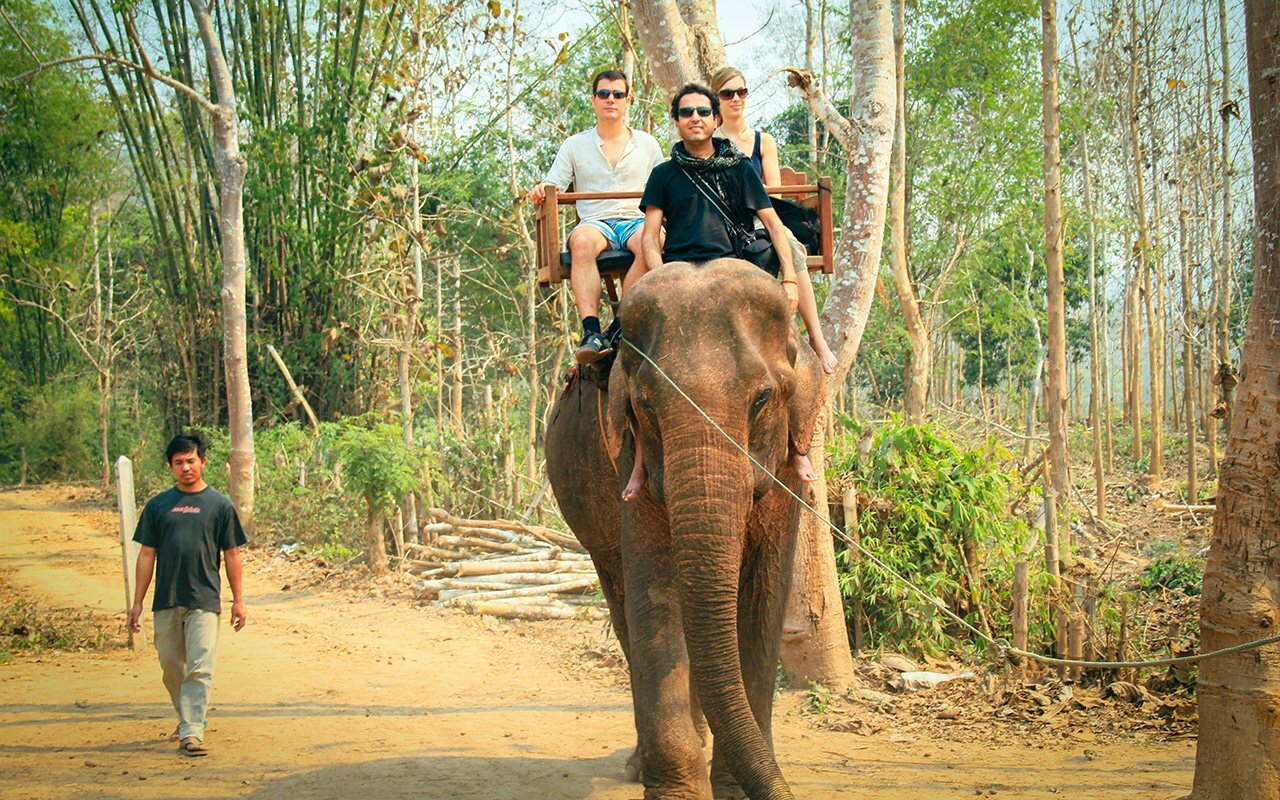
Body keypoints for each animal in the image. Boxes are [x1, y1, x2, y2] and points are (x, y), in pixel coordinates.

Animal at [545, 258, 824, 793]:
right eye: (646, 404)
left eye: (762, 399)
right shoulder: (629, 460)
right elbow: (654, 588)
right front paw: (679, 790)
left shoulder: (787, 468)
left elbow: (765, 593)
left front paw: (732, 788)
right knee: (622, 608)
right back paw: (640, 764)